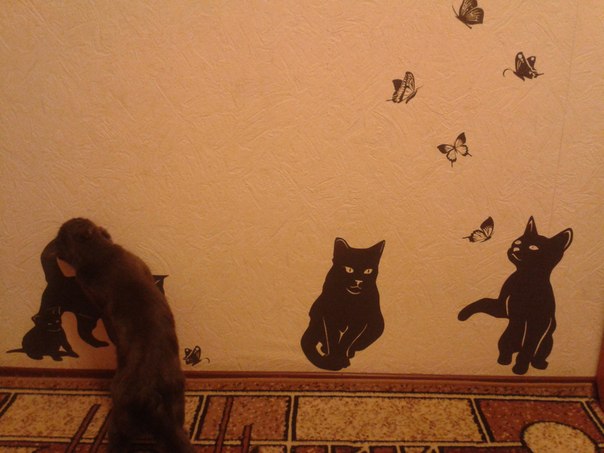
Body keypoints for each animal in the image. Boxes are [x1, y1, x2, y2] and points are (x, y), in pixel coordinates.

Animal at [301, 238, 385, 371]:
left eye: (368, 271)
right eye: (349, 269)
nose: (358, 280)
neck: (348, 299)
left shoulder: (360, 320)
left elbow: (347, 338)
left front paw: (341, 359)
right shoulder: (329, 315)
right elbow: (332, 337)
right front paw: (333, 360)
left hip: (378, 323)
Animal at [458, 217, 573, 375]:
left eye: (533, 248)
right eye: (518, 242)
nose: (515, 248)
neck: (524, 279)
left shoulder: (537, 322)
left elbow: (528, 348)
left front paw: (520, 368)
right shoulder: (503, 308)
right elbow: (482, 301)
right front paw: (463, 313)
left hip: (547, 341)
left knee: (535, 354)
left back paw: (538, 364)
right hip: (505, 337)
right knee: (507, 346)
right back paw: (504, 359)